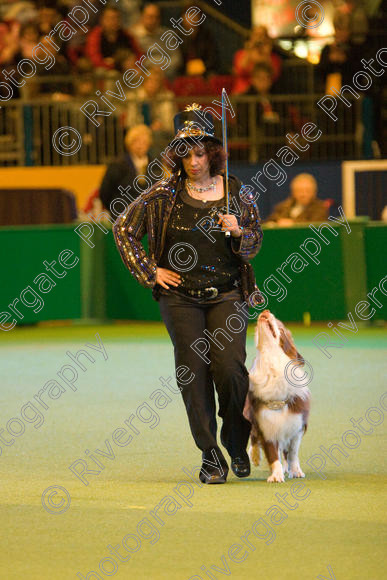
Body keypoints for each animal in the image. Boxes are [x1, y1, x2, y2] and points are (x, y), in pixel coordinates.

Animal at [246, 310, 312, 482]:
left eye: (280, 326)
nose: (266, 311)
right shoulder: (266, 425)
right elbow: (272, 454)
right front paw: (276, 475)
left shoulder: (296, 425)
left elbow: (293, 453)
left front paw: (295, 471)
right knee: (253, 435)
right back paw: (255, 456)